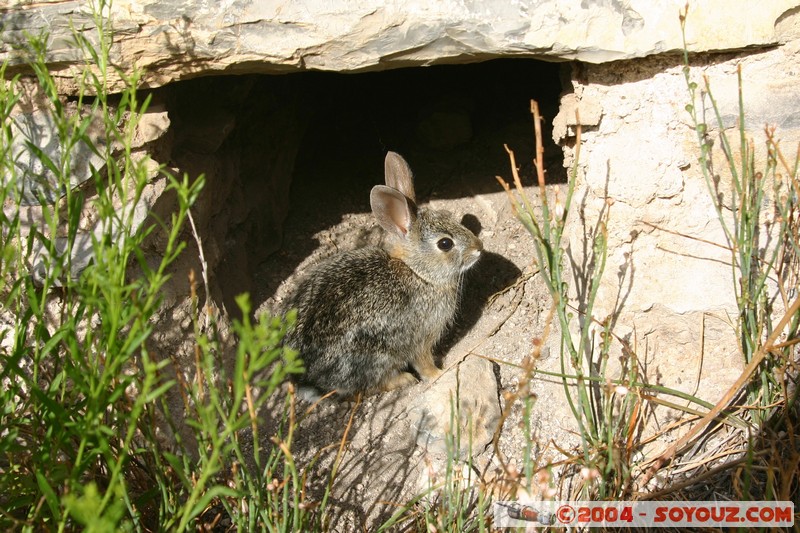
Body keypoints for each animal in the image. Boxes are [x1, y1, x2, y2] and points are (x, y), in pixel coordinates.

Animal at [284, 152, 484, 396]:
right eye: (445, 244)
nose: (479, 247)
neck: (418, 273)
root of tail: (307, 378)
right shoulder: (420, 337)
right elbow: (423, 362)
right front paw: (439, 373)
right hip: (375, 355)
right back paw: (403, 380)